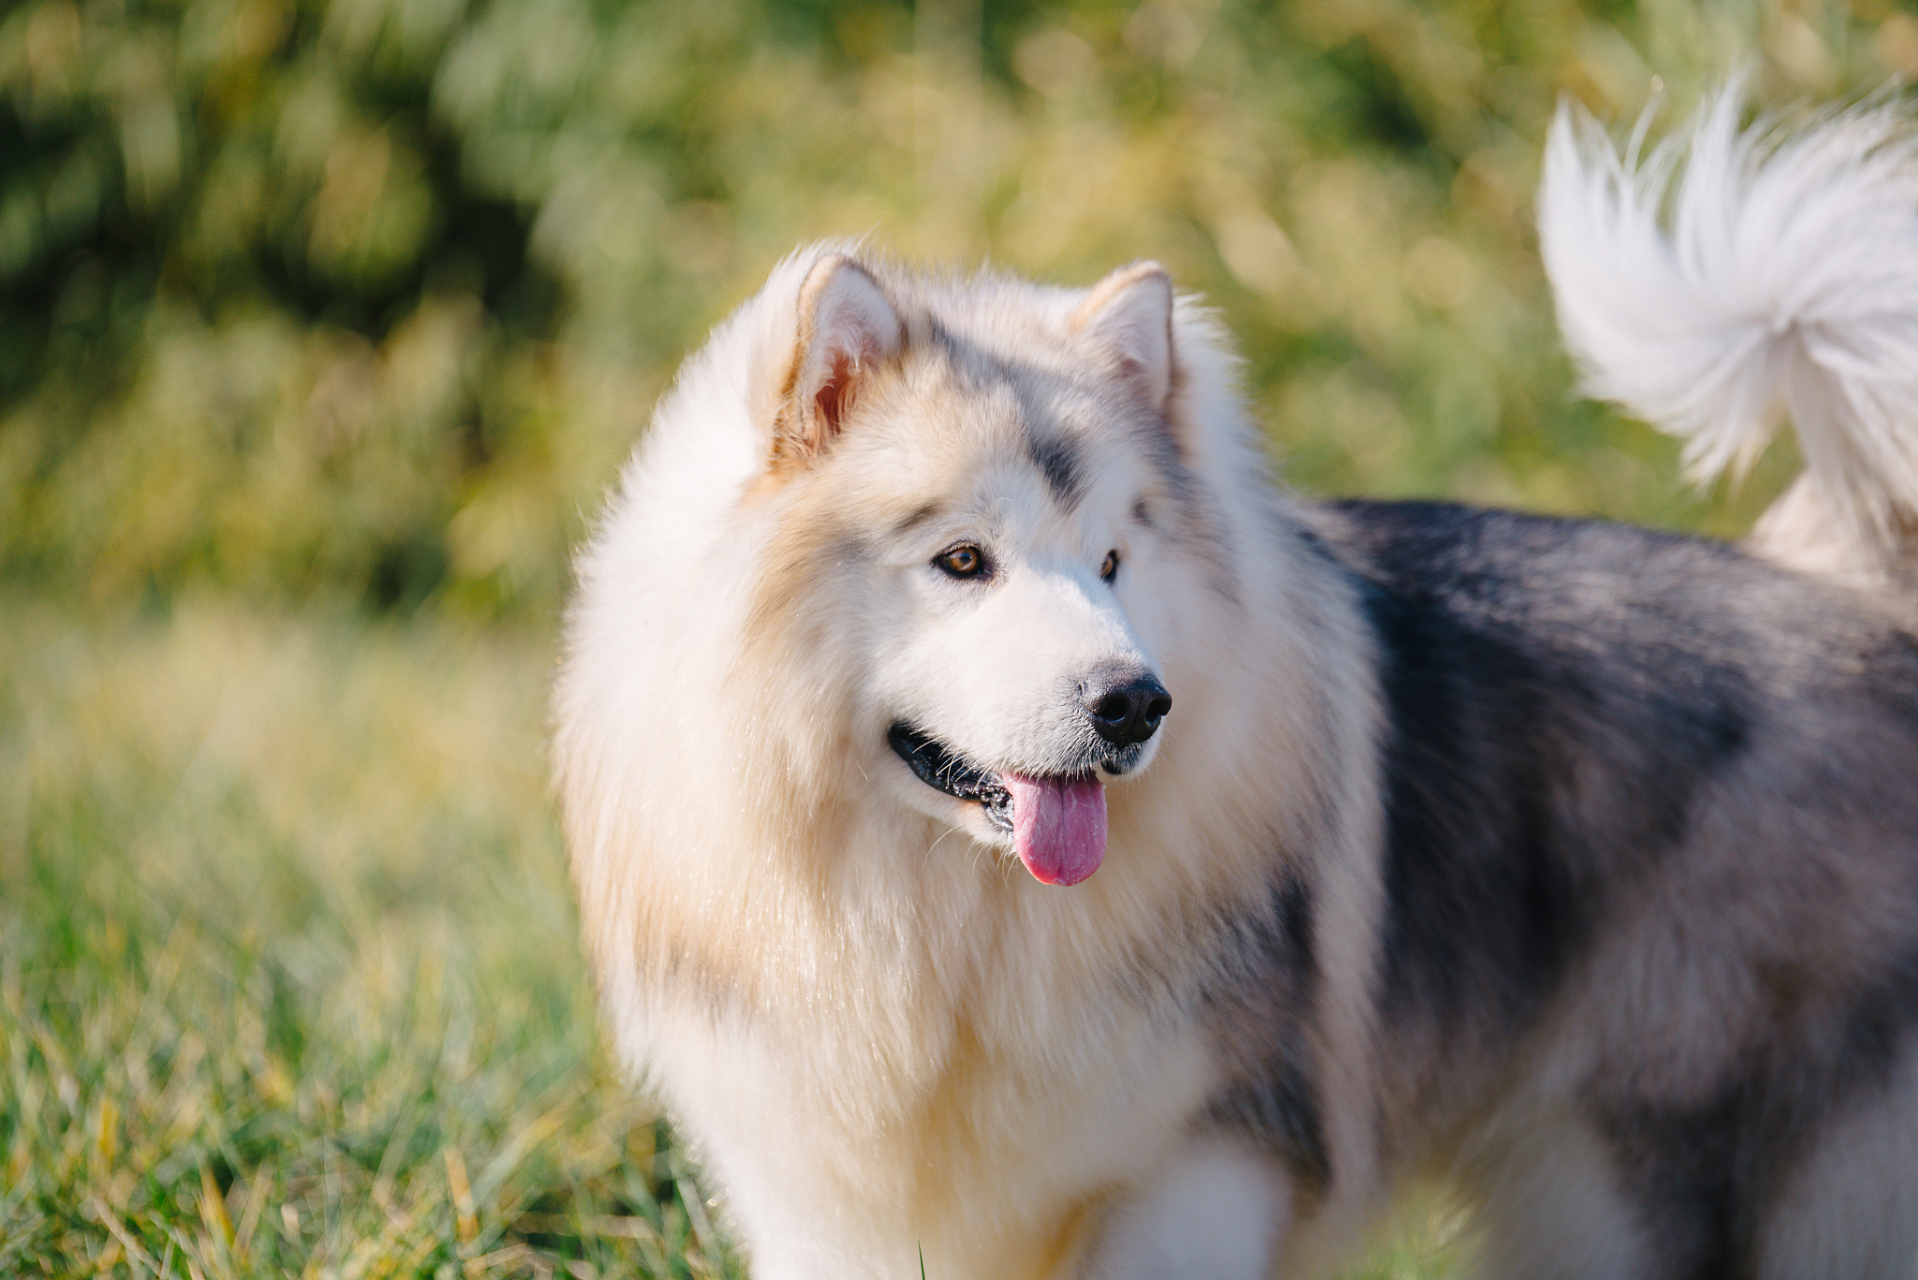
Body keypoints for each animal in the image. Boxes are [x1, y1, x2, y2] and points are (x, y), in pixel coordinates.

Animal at [552, 84, 1918, 1274]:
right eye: (962, 559)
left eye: (1114, 559)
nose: (1133, 704)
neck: (943, 939)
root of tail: (1841, 584)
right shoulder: (830, 1209)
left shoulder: (1199, 1168)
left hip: (1642, 1174)